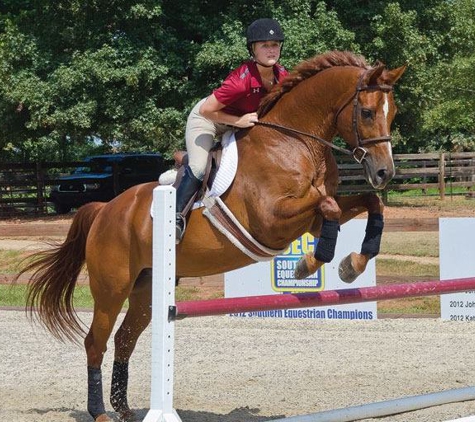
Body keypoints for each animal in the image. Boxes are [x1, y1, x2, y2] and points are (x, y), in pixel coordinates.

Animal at [17, 51, 406, 420]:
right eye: (367, 112)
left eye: (394, 113)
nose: (384, 173)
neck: (292, 140)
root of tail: (105, 209)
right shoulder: (271, 219)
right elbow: (327, 206)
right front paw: (309, 265)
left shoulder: (309, 220)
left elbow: (367, 203)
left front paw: (354, 263)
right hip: (112, 288)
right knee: (95, 342)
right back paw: (99, 411)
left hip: (146, 289)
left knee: (125, 339)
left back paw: (124, 408)